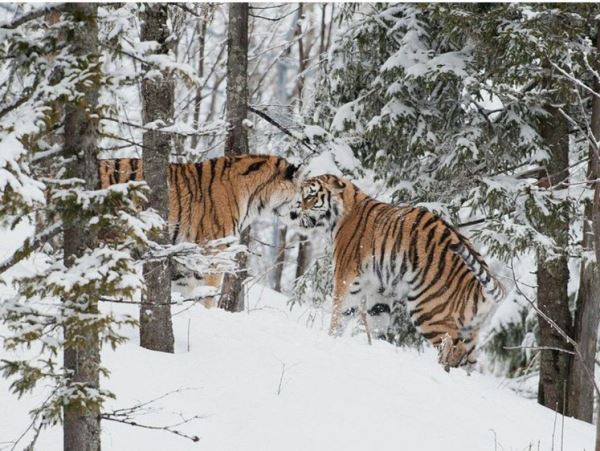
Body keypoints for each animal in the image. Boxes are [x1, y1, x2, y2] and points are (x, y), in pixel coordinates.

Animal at [292, 175, 504, 370]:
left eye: (310, 196)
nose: (294, 213)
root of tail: (477, 286)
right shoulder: (380, 288)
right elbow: (377, 320)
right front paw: (372, 347)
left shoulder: (345, 277)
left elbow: (339, 313)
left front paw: (331, 338)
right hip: (470, 330)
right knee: (469, 361)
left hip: (428, 311)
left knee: (452, 348)